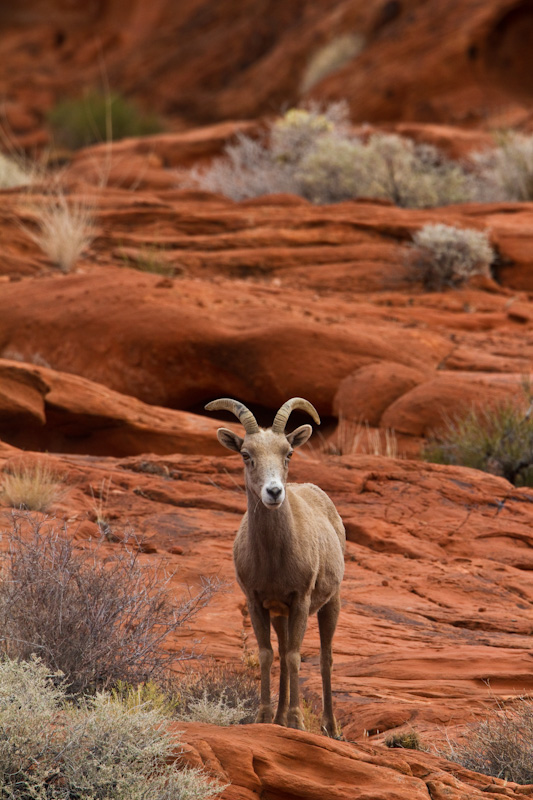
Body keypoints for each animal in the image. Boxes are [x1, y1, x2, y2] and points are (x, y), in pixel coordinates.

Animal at [204, 396, 344, 736]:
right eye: (246, 455)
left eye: (288, 453)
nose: (274, 492)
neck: (273, 559)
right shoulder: (257, 601)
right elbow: (268, 655)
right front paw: (264, 716)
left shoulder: (301, 600)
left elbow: (294, 657)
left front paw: (297, 721)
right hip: (281, 614)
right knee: (281, 651)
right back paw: (279, 719)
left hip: (330, 603)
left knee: (325, 658)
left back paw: (329, 728)